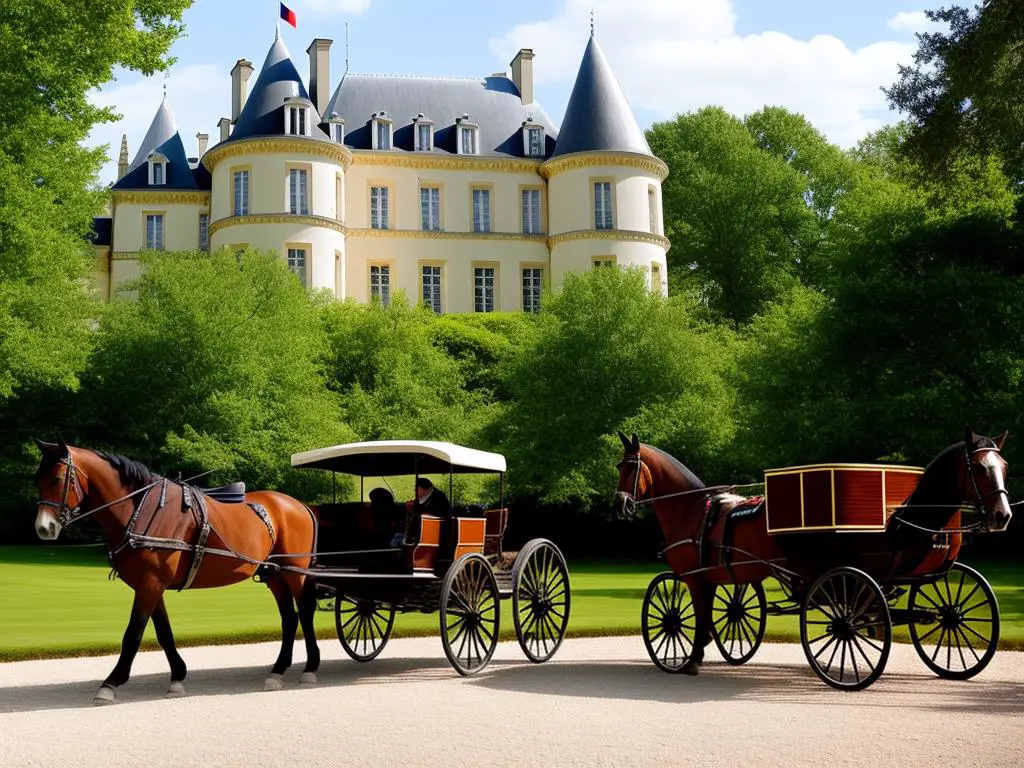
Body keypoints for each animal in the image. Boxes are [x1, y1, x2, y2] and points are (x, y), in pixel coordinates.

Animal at [33, 442, 319, 708]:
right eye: (37, 480)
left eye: (56, 479)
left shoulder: (150, 584)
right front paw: (177, 676)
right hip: (274, 574)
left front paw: (111, 683)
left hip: (295, 572)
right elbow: (164, 632)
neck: (139, 508)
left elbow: (133, 634)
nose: (44, 528)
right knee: (289, 618)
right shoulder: (151, 584)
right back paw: (278, 671)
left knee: (305, 612)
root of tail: (299, 505)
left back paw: (310, 667)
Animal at [610, 430, 1011, 675]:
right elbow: (725, 612)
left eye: (626, 466)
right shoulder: (718, 578)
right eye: (980, 467)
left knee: (847, 620)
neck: (692, 508)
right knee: (948, 615)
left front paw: (690, 658)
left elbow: (688, 618)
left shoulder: (693, 579)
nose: (620, 505)